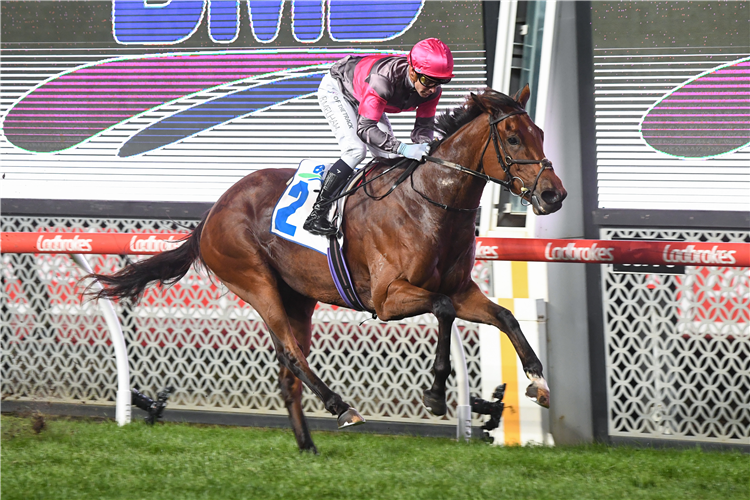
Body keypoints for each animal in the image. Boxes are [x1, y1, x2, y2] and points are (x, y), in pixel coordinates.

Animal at [88, 86, 568, 454]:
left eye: (541, 134)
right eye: (512, 138)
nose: (553, 195)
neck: (430, 202)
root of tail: (213, 211)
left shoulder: (462, 288)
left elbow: (504, 316)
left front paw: (538, 382)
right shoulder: (388, 298)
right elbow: (444, 310)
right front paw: (434, 395)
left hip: (298, 298)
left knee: (288, 373)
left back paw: (307, 445)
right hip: (255, 282)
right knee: (291, 355)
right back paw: (342, 407)